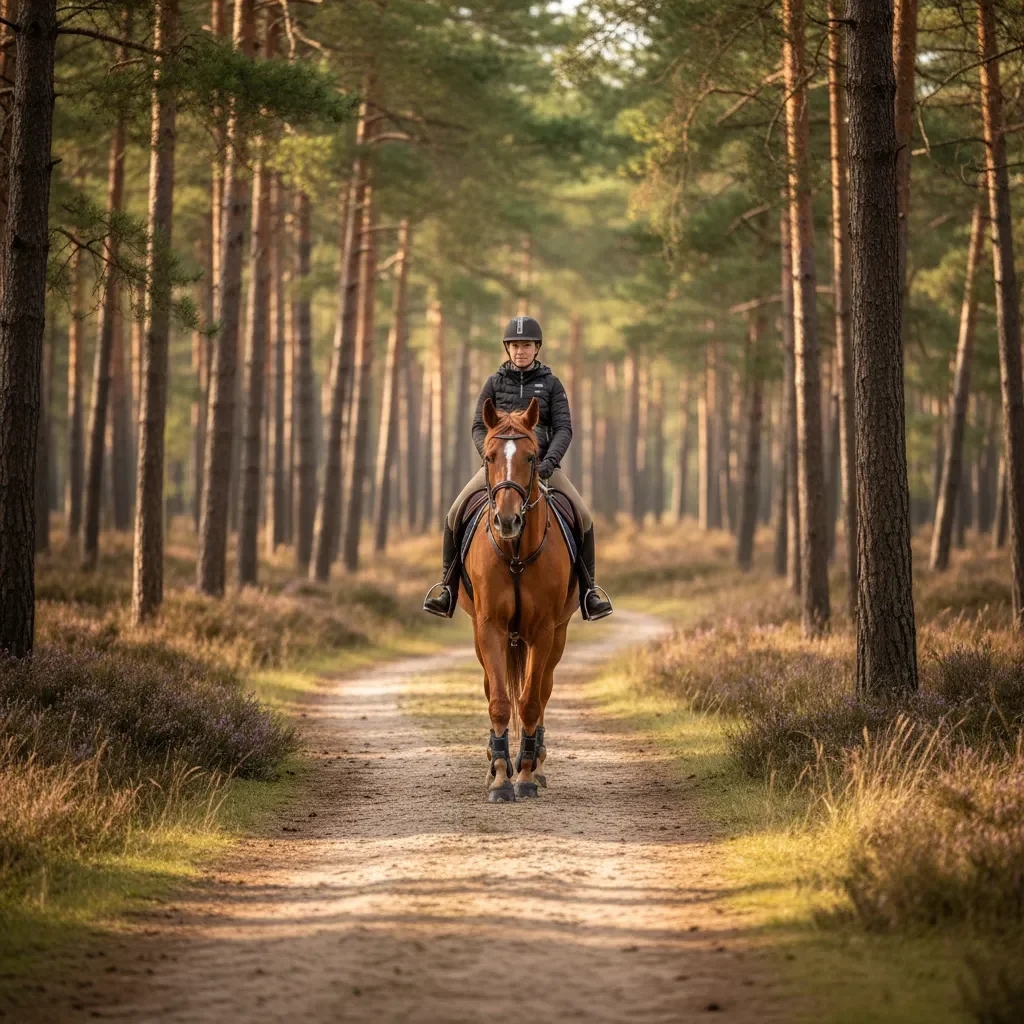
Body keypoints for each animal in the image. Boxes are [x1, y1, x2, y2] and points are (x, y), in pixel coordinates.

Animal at [459, 396, 578, 803]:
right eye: (489, 456)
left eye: (531, 456)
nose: (506, 520)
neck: (515, 554)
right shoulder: (489, 627)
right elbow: (498, 701)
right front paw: (499, 777)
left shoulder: (542, 632)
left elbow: (529, 702)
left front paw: (524, 777)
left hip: (557, 636)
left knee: (543, 690)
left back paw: (536, 765)